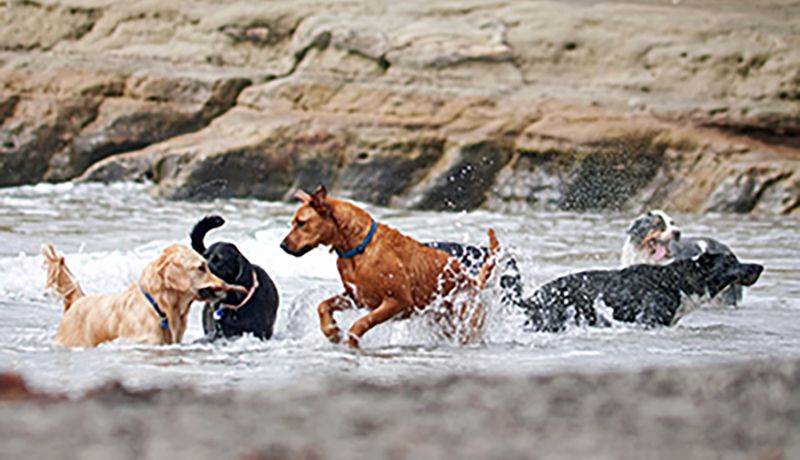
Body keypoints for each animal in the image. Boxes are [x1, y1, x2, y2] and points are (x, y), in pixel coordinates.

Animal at [278, 185, 496, 346]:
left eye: (301, 223)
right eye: (293, 223)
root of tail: (473, 282)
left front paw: (351, 342)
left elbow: (360, 324)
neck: (357, 249)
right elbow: (323, 305)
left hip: (466, 322)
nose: (282, 246)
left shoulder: (397, 301)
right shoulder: (357, 297)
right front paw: (331, 331)